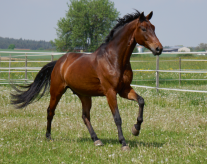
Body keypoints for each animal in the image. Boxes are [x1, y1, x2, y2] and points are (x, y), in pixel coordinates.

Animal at [10, 10, 163, 151]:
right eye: (143, 28)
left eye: (154, 27)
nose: (159, 48)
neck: (114, 59)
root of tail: (59, 62)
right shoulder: (110, 92)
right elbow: (117, 118)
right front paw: (124, 143)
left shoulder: (124, 90)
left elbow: (141, 101)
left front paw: (135, 129)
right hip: (57, 91)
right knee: (50, 111)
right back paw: (48, 137)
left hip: (84, 95)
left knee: (85, 116)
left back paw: (96, 140)